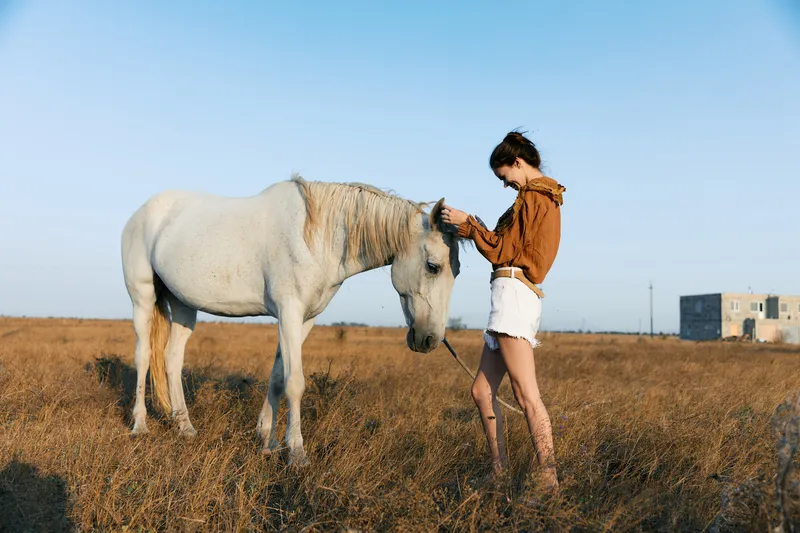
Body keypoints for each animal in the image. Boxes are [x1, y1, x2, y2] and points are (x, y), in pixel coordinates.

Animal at [120, 174, 461, 465]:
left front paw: (267, 441)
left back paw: (185, 427)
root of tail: (141, 213)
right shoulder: (289, 312)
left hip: (183, 305)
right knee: (144, 356)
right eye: (433, 266)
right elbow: (294, 382)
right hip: (142, 298)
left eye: (455, 271)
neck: (319, 237)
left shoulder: (305, 318)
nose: (430, 339)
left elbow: (277, 376)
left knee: (172, 359)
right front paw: (296, 452)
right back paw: (140, 425)